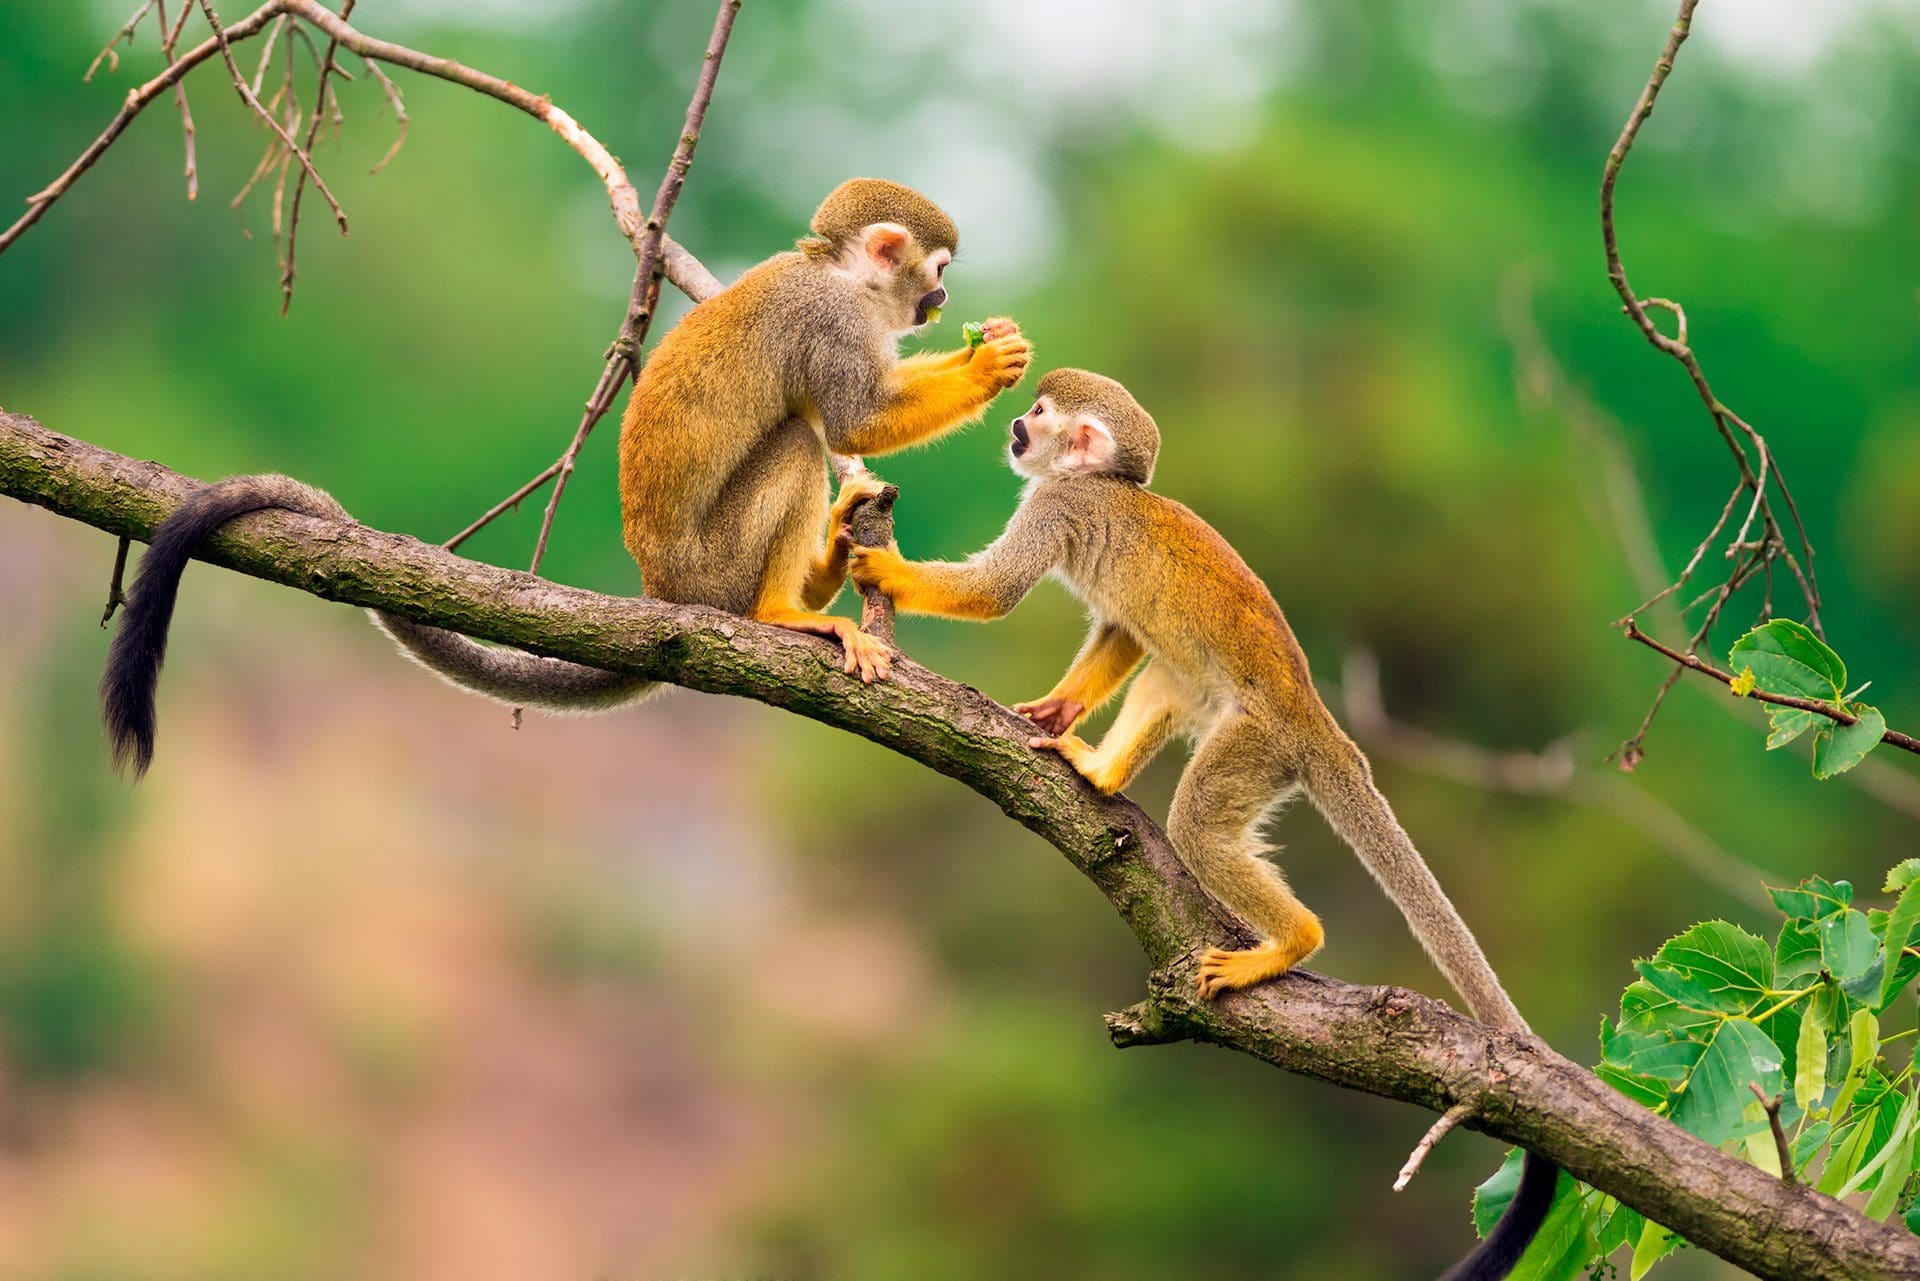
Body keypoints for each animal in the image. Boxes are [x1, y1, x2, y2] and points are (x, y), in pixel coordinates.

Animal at [101, 175, 1036, 775]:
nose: (940, 304)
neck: (838, 274)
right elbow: (852, 420)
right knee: (797, 444)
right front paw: (989, 367)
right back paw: (785, 610)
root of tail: (664, 594)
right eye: (937, 272)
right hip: (715, 569)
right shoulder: (832, 320)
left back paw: (834, 554)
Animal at [852, 368, 1559, 1281]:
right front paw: (1059, 708)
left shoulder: (1058, 506)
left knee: (1197, 820)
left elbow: (998, 591)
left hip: (1258, 744)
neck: (1104, 485)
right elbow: (1120, 632)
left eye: (1039, 415)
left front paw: (886, 566)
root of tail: (1316, 719)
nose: (1014, 426)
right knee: (1167, 667)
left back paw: (1291, 941)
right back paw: (1103, 772)